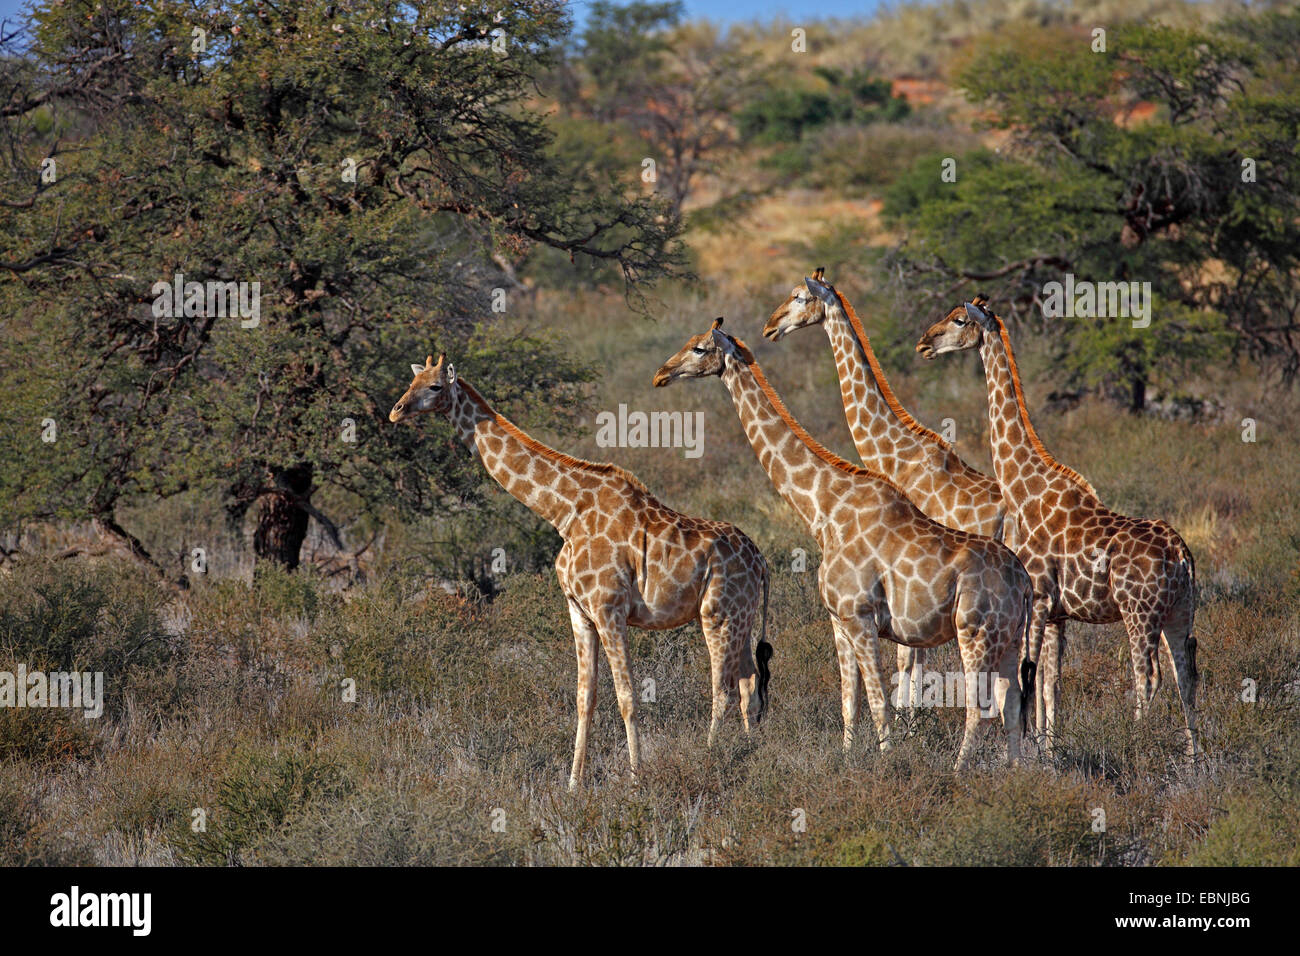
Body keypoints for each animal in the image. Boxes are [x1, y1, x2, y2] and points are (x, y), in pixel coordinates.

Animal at [384, 356, 769, 790]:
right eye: (411, 380)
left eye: (434, 386)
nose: (396, 410)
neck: (564, 513)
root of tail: (761, 561)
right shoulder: (578, 610)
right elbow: (586, 698)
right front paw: (572, 784)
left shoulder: (609, 609)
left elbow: (627, 696)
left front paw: (635, 777)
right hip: (740, 617)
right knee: (749, 683)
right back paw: (749, 754)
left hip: (717, 613)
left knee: (723, 689)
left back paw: (708, 759)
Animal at [655, 321, 1029, 770]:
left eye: (698, 348)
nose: (662, 374)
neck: (825, 511)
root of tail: (1024, 582)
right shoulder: (839, 621)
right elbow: (850, 701)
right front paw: (849, 758)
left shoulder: (861, 616)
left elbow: (879, 701)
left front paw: (888, 763)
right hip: (1009, 635)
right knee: (1011, 705)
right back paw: (1015, 773)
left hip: (976, 632)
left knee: (980, 708)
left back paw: (958, 772)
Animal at [764, 269, 1008, 712]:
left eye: (799, 296)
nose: (770, 327)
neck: (894, 451)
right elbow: (913, 654)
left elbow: (906, 657)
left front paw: (907, 718)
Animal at [915, 299, 1196, 764]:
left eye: (959, 319)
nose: (924, 342)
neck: (1022, 487)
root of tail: (1182, 556)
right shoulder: (1058, 613)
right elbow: (1052, 684)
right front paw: (1049, 749)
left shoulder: (1041, 599)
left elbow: (1028, 678)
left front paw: (1031, 751)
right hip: (1180, 610)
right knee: (1186, 675)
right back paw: (1194, 760)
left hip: (1139, 611)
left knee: (1147, 676)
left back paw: (1137, 745)